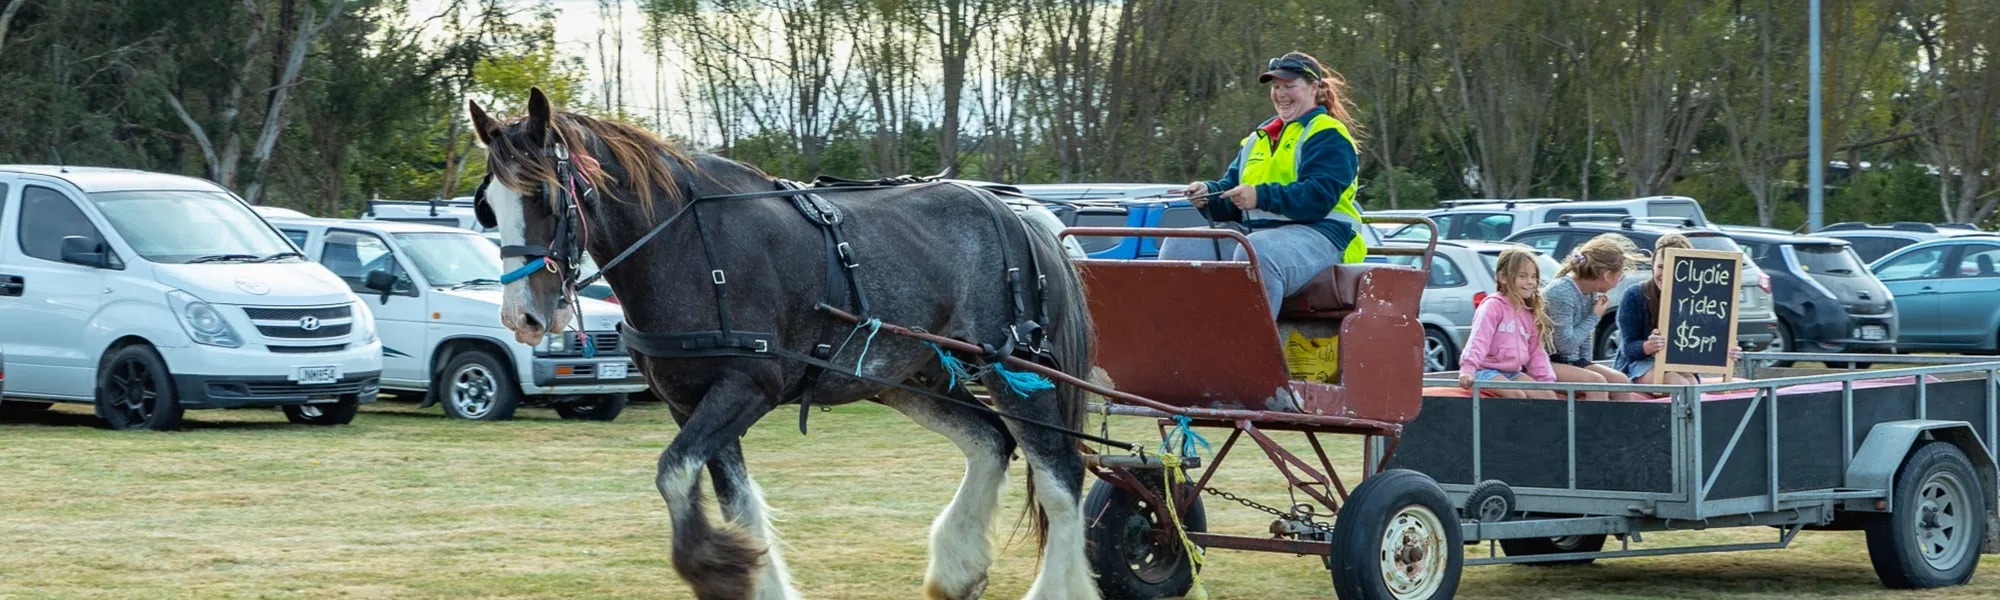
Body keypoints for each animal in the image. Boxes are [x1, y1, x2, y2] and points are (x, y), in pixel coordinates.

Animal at [467, 88, 1099, 600]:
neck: (687, 245)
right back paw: (958, 567)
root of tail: (1018, 216)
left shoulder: (747, 387)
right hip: (911, 376)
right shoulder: (689, 403)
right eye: (488, 207)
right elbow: (736, 503)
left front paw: (717, 568)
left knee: (1062, 478)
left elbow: (674, 474)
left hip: (1019, 370)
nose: (522, 316)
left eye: (545, 197)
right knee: (991, 441)